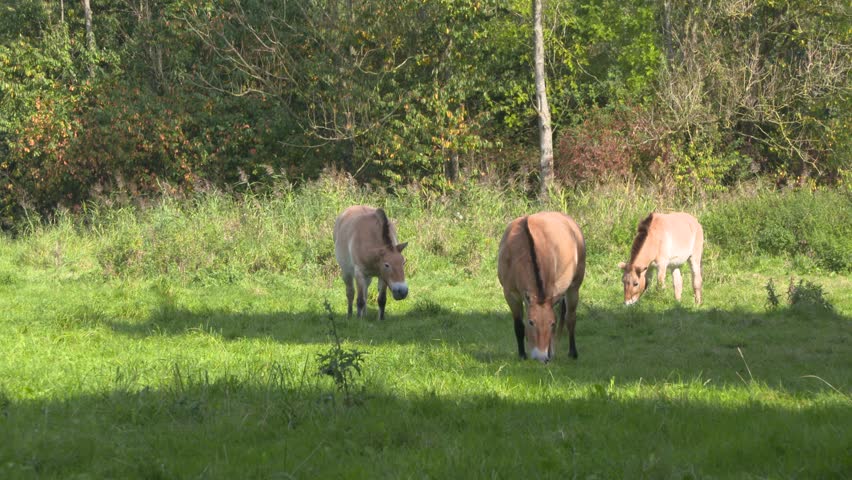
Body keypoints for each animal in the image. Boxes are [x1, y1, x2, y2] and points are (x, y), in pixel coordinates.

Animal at [500, 212, 584, 362]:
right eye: (531, 322)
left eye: (551, 323)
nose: (542, 357)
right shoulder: (511, 295)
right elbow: (519, 326)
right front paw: (522, 355)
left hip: (574, 288)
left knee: (570, 318)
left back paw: (572, 352)